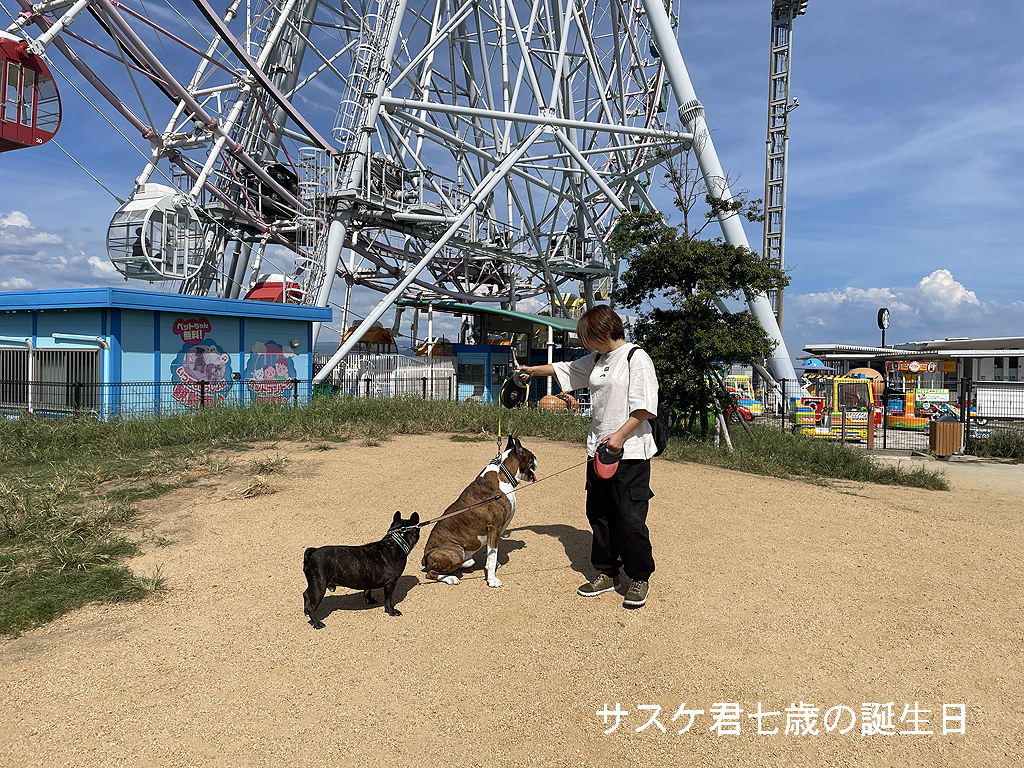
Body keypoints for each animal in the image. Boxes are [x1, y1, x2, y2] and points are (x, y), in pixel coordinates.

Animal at [421, 436, 540, 585]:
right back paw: (450, 578)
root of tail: (425, 555)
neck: (503, 473)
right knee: (431, 574)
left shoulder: (492, 533)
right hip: (456, 552)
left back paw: (467, 562)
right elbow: (492, 556)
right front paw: (492, 579)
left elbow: (491, 554)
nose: (537, 459)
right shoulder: (494, 528)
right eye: (532, 456)